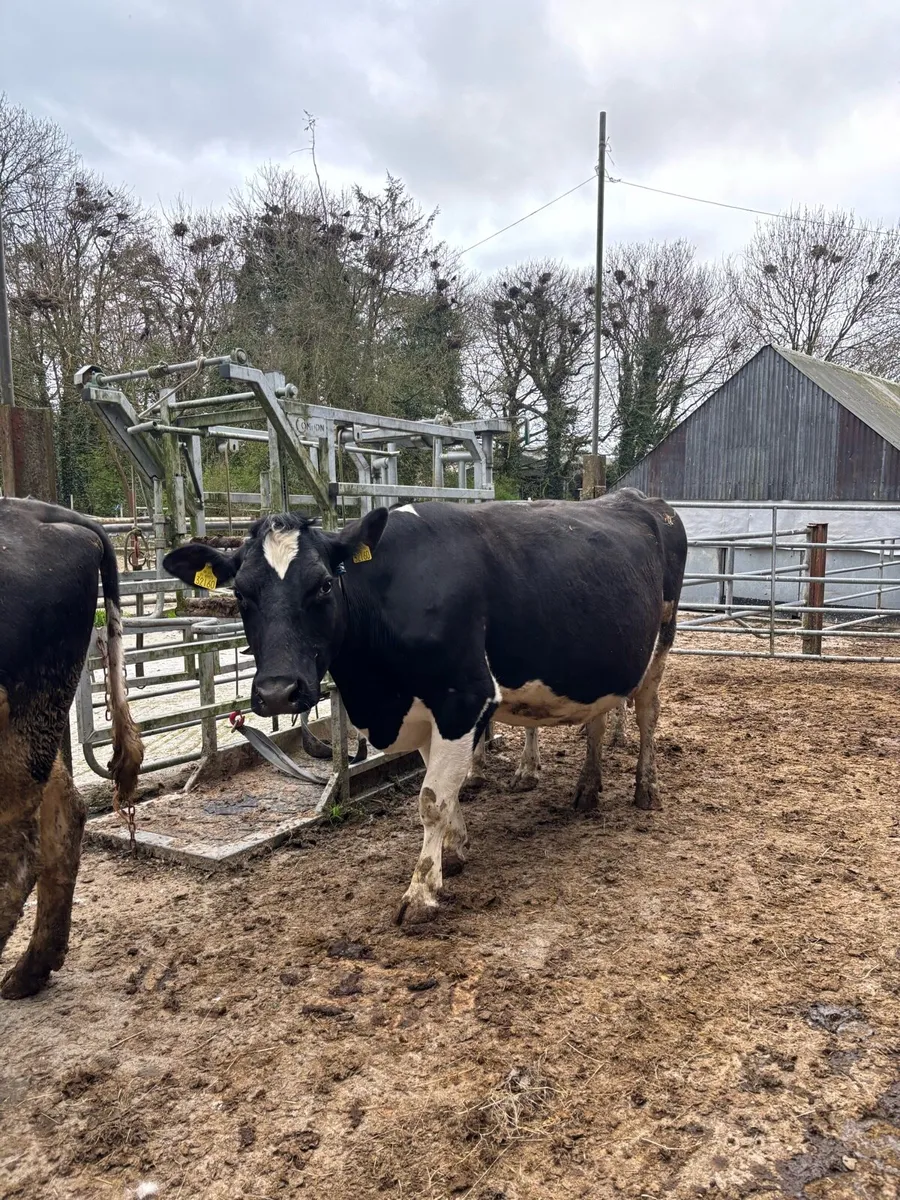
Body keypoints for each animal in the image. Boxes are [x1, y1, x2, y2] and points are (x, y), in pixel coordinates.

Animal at [163, 489, 686, 926]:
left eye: (324, 586)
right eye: (240, 593)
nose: (277, 692)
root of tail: (640, 499)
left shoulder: (464, 698)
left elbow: (432, 799)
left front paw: (421, 891)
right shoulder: (420, 715)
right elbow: (444, 791)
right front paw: (454, 852)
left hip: (661, 638)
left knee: (648, 712)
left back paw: (645, 788)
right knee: (597, 719)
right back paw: (587, 790)